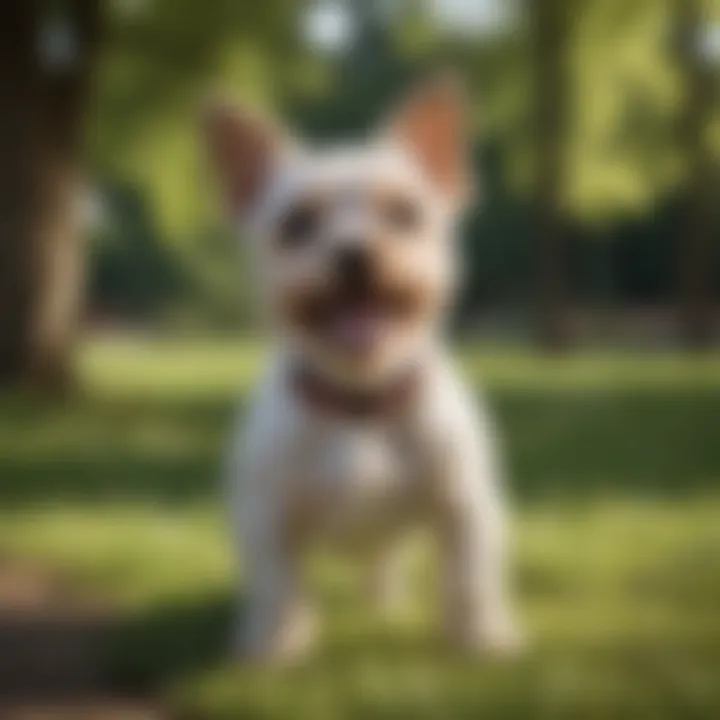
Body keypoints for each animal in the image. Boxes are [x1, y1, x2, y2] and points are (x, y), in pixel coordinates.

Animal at [205, 74, 520, 664]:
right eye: (296, 225)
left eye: (404, 213)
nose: (354, 252)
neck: (361, 399)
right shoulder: (267, 519)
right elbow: (278, 584)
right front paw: (278, 645)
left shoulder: (464, 510)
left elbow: (469, 579)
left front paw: (481, 638)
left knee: (384, 560)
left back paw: (384, 601)